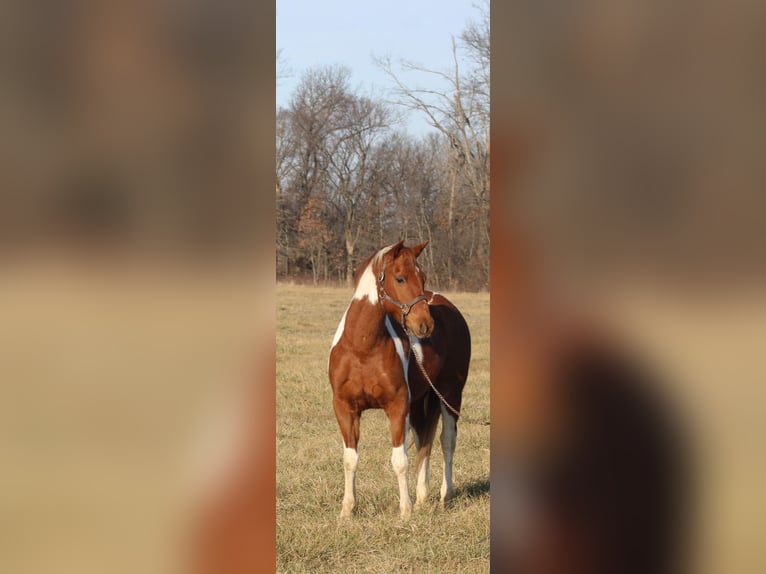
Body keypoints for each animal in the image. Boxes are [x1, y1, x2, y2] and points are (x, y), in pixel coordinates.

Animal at [330, 241, 474, 520]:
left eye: (423, 277)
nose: (425, 325)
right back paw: (422, 498)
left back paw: (444, 496)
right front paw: (347, 511)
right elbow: (349, 459)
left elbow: (399, 460)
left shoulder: (397, 406)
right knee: (423, 442)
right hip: (420, 402)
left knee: (447, 441)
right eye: (400, 278)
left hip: (450, 393)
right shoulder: (345, 408)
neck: (361, 348)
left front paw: (405, 511)